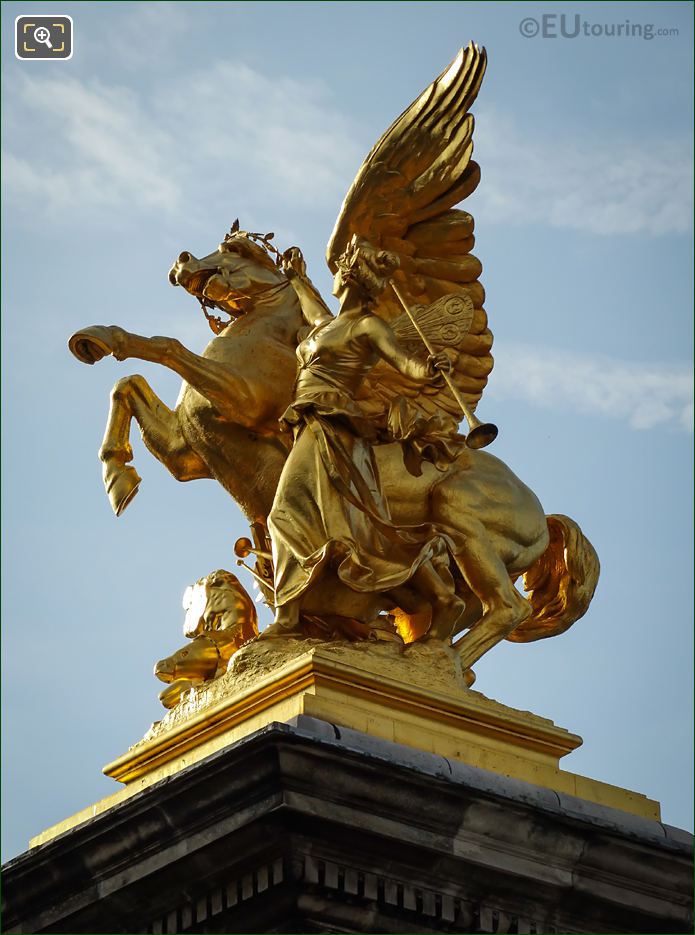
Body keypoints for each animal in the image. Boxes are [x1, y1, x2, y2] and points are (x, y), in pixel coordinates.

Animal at [69, 45, 600, 672]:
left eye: (234, 248)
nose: (181, 263)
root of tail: (543, 515)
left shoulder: (242, 401)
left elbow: (164, 347)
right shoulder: (188, 453)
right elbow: (127, 384)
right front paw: (117, 471)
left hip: (462, 520)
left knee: (501, 608)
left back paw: (431, 663)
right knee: (455, 602)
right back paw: (411, 649)